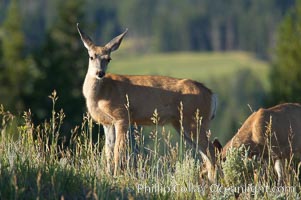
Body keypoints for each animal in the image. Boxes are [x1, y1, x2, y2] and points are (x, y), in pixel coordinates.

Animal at [77, 23, 218, 181]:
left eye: (108, 59)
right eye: (91, 57)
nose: (100, 73)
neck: (101, 94)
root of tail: (212, 95)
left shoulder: (122, 115)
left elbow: (118, 151)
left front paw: (116, 176)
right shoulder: (107, 123)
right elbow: (108, 151)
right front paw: (108, 175)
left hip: (195, 119)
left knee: (212, 151)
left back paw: (215, 182)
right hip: (183, 124)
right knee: (206, 153)